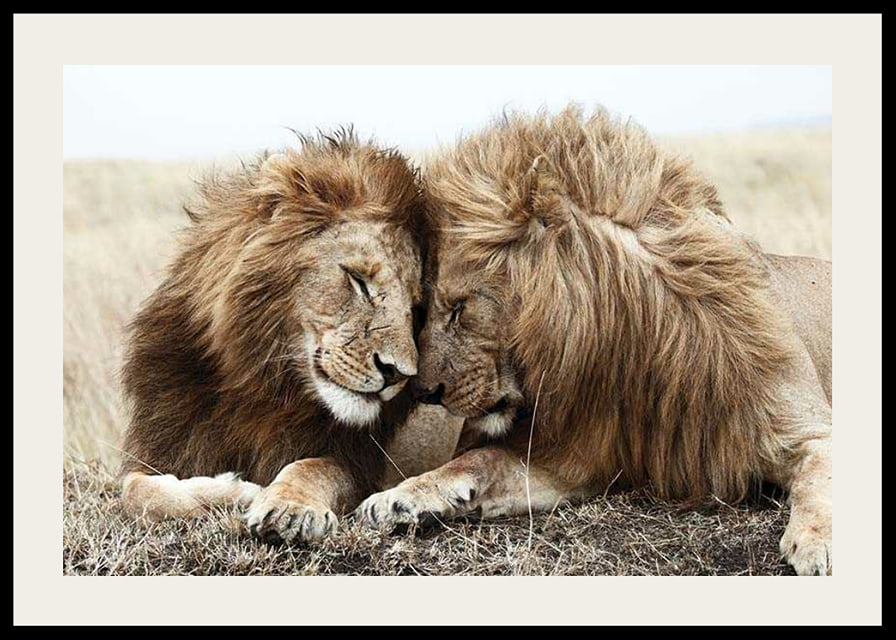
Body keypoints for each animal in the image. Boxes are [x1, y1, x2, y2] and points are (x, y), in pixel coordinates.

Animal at [119, 129, 430, 543]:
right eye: (359, 281)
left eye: (416, 308)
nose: (398, 373)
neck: (261, 385)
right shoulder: (160, 446)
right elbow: (135, 491)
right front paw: (234, 491)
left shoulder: (357, 463)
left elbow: (311, 467)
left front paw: (288, 508)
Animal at [356, 106, 833, 576]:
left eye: (459, 308)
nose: (424, 391)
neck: (633, 345)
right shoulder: (574, 457)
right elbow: (479, 460)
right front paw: (398, 498)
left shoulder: (808, 428)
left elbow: (820, 478)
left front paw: (819, 546)